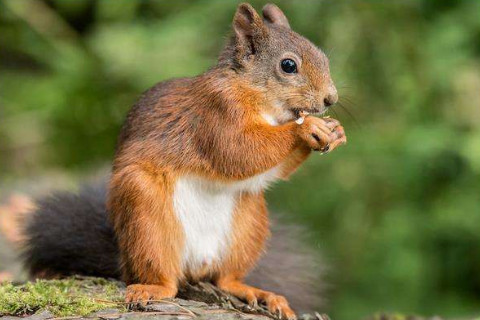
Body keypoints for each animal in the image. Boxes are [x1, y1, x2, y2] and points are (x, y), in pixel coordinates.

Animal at [16, 2, 344, 318]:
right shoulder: (215, 114)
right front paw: (307, 128)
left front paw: (336, 131)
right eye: (288, 66)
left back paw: (258, 292)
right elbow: (239, 151)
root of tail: (196, 264)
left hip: (250, 220)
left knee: (224, 279)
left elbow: (272, 169)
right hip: (145, 213)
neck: (256, 94)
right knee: (166, 278)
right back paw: (152, 288)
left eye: (322, 56)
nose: (331, 99)